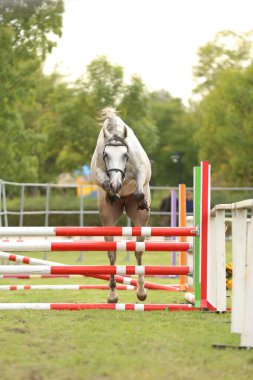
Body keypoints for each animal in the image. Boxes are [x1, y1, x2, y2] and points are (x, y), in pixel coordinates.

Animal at [90, 107, 151, 302]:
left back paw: (141, 291)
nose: (117, 185)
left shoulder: (141, 169)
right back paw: (112, 294)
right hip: (108, 219)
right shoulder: (99, 172)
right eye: (105, 155)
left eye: (125, 155)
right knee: (112, 253)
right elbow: (104, 181)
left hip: (140, 221)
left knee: (138, 251)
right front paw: (113, 193)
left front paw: (141, 200)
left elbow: (139, 187)